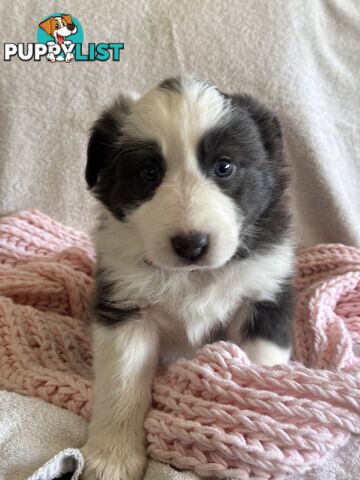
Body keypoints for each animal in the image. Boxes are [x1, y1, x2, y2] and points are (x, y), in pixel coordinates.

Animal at [82, 76, 296, 480]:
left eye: (224, 167)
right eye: (149, 173)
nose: (191, 245)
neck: (194, 275)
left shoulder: (265, 293)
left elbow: (258, 370)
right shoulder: (126, 308)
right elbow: (121, 386)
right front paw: (113, 458)